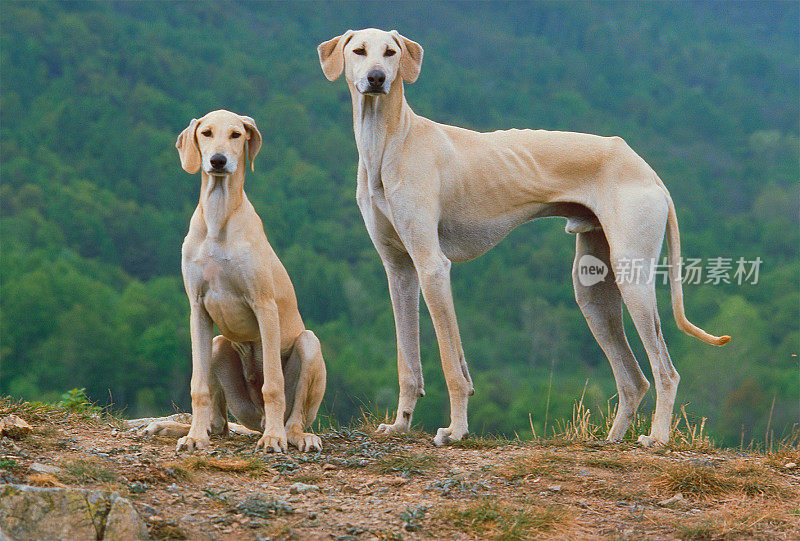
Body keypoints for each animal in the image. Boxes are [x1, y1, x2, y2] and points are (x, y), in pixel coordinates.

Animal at [128, 109, 324, 452]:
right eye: (205, 132)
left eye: (236, 134)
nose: (218, 161)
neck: (218, 219)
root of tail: (257, 420)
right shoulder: (197, 309)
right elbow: (198, 386)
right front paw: (194, 437)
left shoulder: (264, 306)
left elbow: (273, 385)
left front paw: (274, 439)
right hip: (220, 346)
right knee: (220, 424)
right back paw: (177, 428)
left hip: (309, 344)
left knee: (295, 414)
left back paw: (291, 434)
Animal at [316, 27, 728, 446]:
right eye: (359, 50)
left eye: (390, 52)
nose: (377, 79)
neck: (392, 143)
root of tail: (649, 172)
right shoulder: (400, 270)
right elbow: (408, 360)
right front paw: (400, 424)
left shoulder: (432, 266)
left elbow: (451, 364)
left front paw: (456, 430)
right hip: (593, 294)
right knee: (634, 379)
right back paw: (613, 440)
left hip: (633, 280)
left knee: (665, 371)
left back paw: (657, 437)